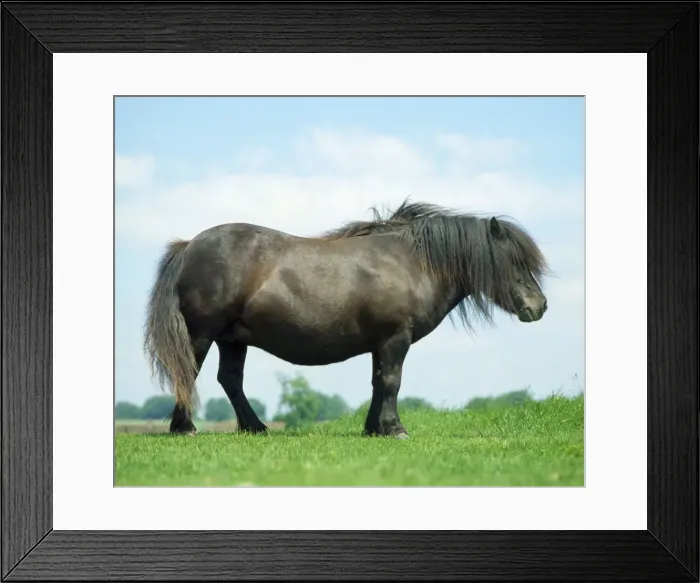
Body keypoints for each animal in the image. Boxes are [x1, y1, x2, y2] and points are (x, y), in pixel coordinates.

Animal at [143, 199, 550, 439]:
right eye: (515, 262)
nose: (540, 306)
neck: (410, 262)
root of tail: (190, 246)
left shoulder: (380, 343)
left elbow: (378, 382)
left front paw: (374, 429)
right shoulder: (395, 338)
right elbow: (392, 382)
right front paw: (395, 429)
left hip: (232, 338)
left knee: (229, 379)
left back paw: (255, 427)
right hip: (203, 333)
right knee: (189, 372)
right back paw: (185, 428)